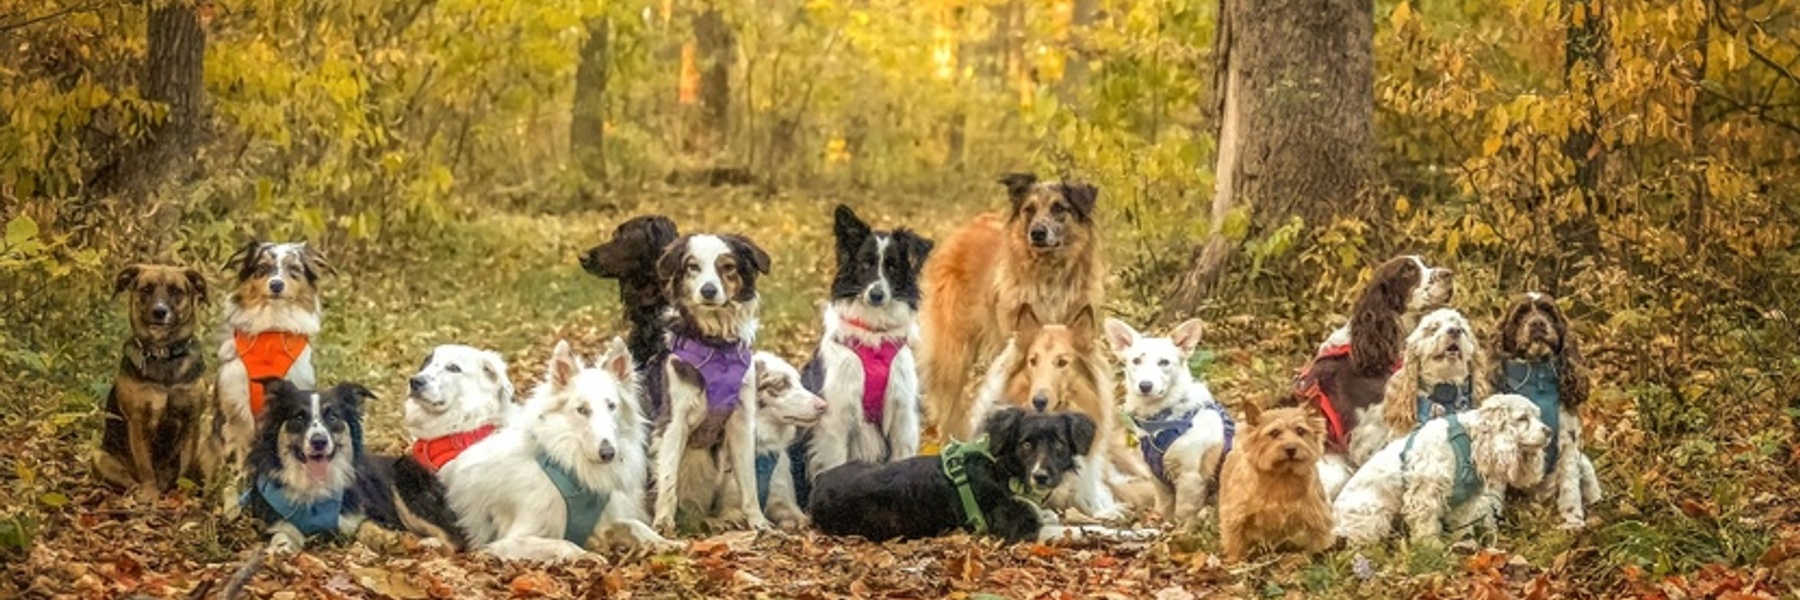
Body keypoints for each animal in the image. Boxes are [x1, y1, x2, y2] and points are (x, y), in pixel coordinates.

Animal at [439, 336, 676, 562]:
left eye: (611, 406)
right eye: (582, 410)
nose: (608, 453)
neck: (568, 465)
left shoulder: (603, 523)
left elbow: (635, 525)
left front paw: (665, 543)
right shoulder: (509, 541)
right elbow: (563, 543)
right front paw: (585, 557)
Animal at [799, 204, 943, 500]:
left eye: (893, 267)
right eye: (865, 264)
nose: (876, 295)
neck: (874, 336)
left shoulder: (902, 416)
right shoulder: (836, 417)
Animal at [813, 407, 1152, 540]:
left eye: (1058, 444)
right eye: (1025, 445)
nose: (1041, 476)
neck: (1004, 470)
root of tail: (817, 485)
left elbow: (1067, 518)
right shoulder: (1023, 531)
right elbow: (1083, 529)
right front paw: (1139, 534)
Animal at [921, 172, 1101, 439]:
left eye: (1059, 208)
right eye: (1029, 209)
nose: (1037, 233)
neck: (1048, 278)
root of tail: (963, 230)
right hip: (955, 349)